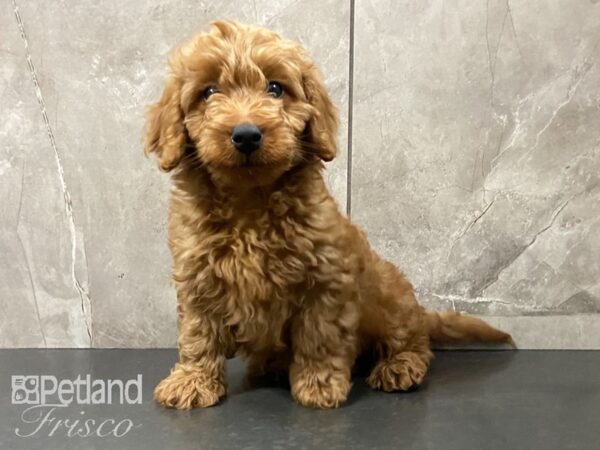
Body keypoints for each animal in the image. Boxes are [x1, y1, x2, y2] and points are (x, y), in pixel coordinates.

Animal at [144, 20, 510, 408]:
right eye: (209, 91)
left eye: (276, 88)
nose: (246, 135)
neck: (250, 201)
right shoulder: (197, 277)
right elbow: (198, 333)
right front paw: (192, 380)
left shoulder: (325, 280)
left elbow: (318, 336)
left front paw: (318, 385)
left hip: (387, 297)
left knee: (412, 341)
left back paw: (400, 366)